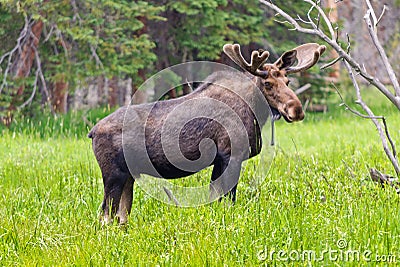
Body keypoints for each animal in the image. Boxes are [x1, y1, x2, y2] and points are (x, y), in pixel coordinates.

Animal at [87, 43, 324, 225]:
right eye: (267, 83)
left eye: (288, 81)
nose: (296, 110)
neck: (255, 109)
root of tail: (92, 131)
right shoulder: (231, 155)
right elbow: (227, 199)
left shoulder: (220, 159)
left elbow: (216, 198)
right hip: (113, 174)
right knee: (105, 216)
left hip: (128, 175)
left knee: (121, 216)